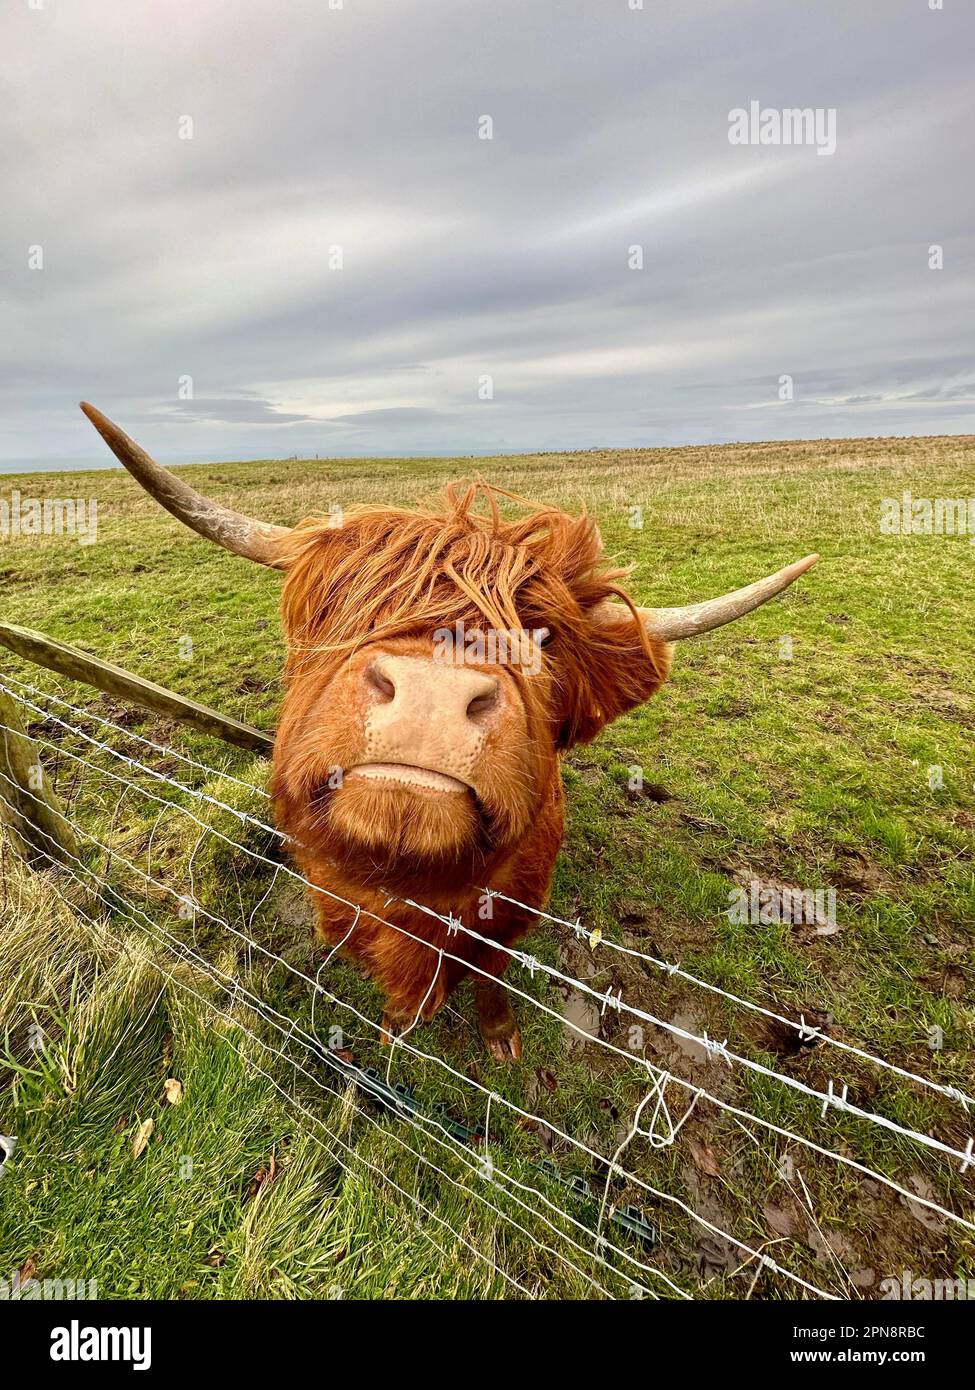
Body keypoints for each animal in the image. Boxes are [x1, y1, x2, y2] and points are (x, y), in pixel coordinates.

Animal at [81, 403, 817, 1060]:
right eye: (345, 603)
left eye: (544, 643)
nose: (432, 694)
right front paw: (392, 1029)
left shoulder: (513, 915)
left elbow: (491, 978)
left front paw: (499, 1039)